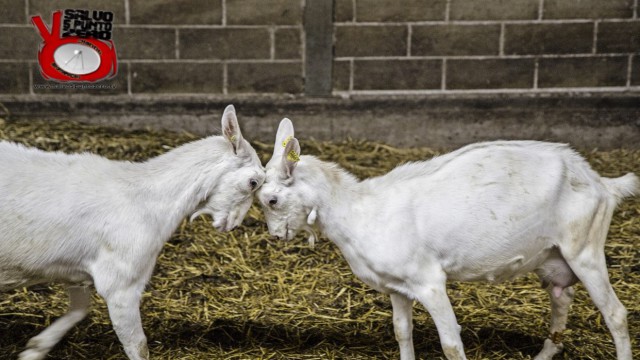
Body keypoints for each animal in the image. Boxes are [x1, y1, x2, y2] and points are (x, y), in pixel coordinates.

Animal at [0, 105, 264, 360]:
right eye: (253, 182)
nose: (232, 225)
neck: (148, 197)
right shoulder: (121, 283)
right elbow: (138, 346)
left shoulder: (76, 272)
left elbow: (79, 309)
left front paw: (33, 350)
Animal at [258, 119, 636, 360]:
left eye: (271, 200)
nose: (275, 236)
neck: (359, 210)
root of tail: (603, 183)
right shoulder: (396, 286)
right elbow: (401, 331)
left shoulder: (429, 280)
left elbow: (452, 343)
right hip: (553, 255)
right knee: (562, 297)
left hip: (584, 246)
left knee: (615, 313)